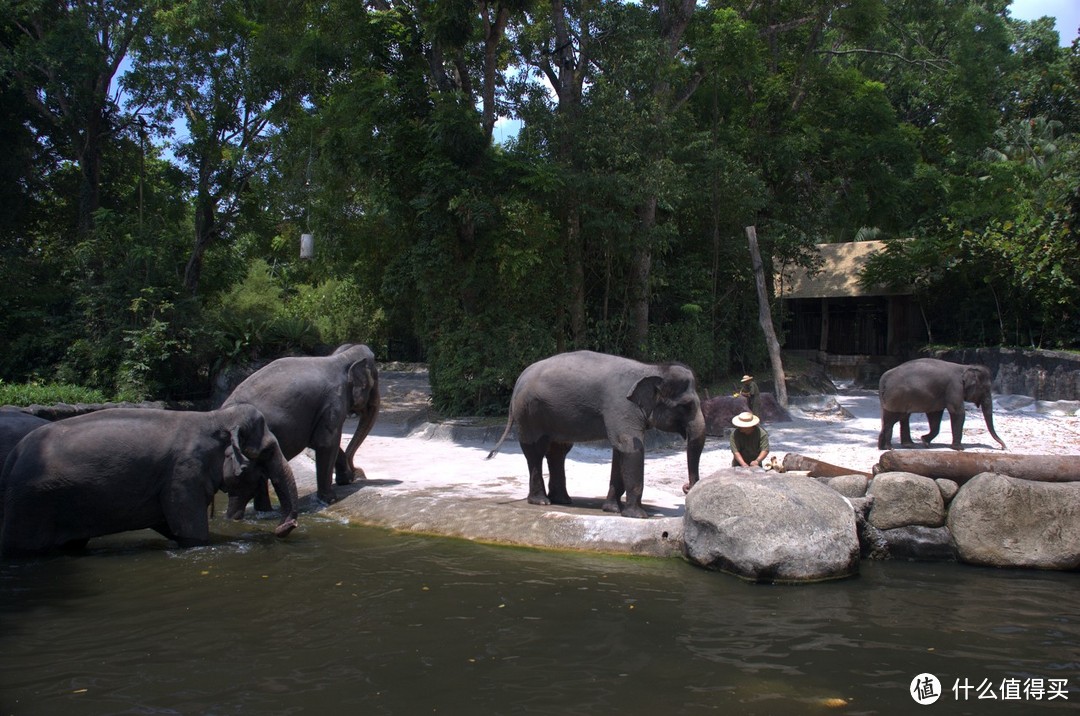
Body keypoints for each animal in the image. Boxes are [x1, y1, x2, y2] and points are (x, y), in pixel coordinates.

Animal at [1, 406, 300, 557]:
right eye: (266, 451)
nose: (284, 527)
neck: (213, 416)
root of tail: (14, 456)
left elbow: (170, 526)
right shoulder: (183, 474)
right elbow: (190, 532)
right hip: (31, 506)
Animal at [221, 343, 382, 516]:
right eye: (374, 382)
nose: (359, 472)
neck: (342, 357)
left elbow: (319, 441)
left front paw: (345, 481)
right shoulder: (333, 402)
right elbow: (326, 443)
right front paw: (331, 498)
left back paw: (264, 512)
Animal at [490, 349, 708, 518]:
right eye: (687, 406)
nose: (686, 487)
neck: (651, 369)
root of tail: (519, 379)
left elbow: (620, 452)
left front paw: (612, 509)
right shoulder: (622, 408)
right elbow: (631, 448)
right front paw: (638, 516)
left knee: (558, 451)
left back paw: (563, 500)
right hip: (529, 414)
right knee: (535, 451)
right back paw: (542, 502)